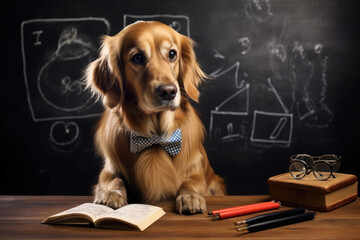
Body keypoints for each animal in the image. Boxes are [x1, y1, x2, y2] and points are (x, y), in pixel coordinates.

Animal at [85, 20, 225, 214]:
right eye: (137, 57)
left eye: (172, 54)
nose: (168, 91)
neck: (156, 137)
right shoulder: (108, 170)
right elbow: (114, 180)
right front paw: (112, 194)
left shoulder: (197, 169)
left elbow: (191, 182)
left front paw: (191, 197)